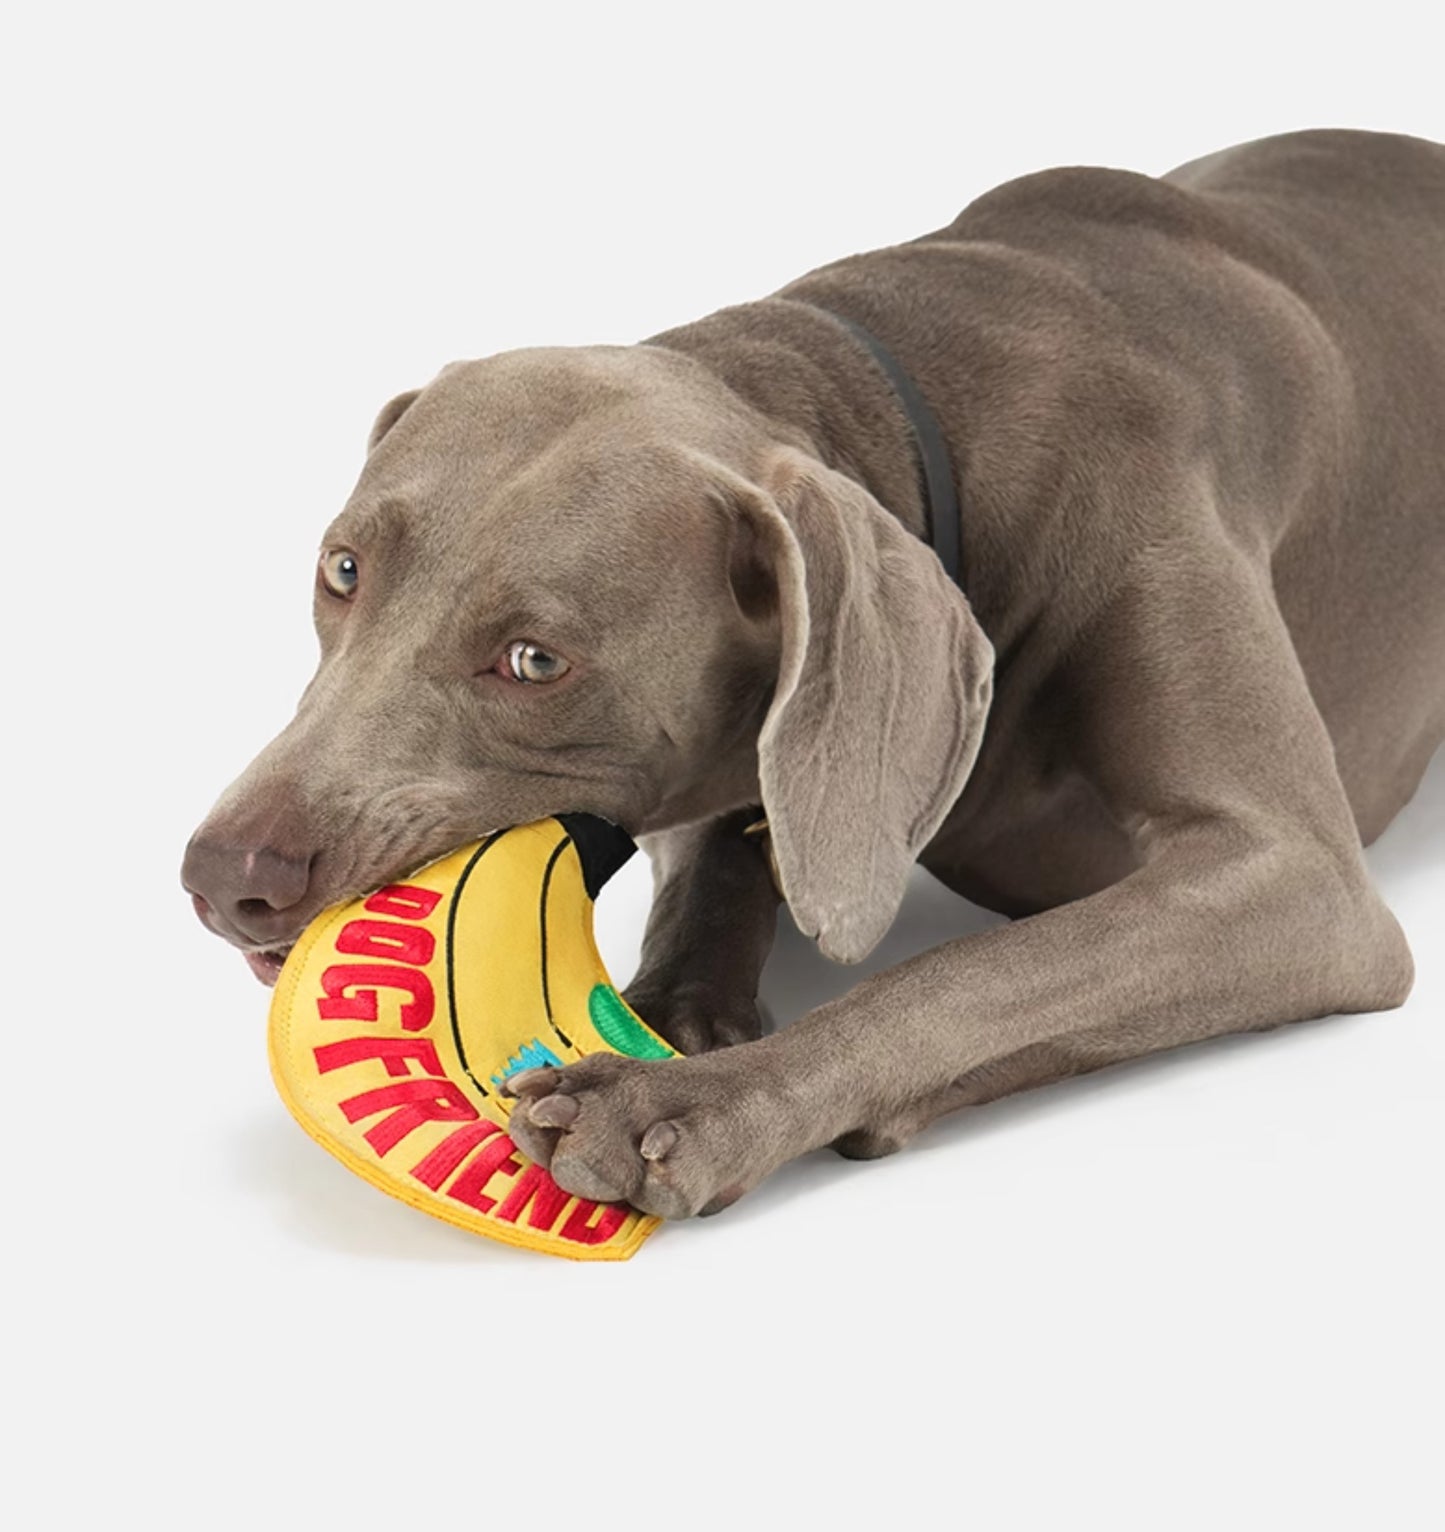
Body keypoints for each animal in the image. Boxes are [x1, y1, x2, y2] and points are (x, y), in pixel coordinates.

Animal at [183, 128, 1445, 1220]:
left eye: (532, 660)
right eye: (342, 569)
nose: (225, 876)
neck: (916, 402)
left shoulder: (1296, 877)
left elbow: (966, 975)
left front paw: (685, 1101)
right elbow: (724, 861)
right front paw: (664, 1012)